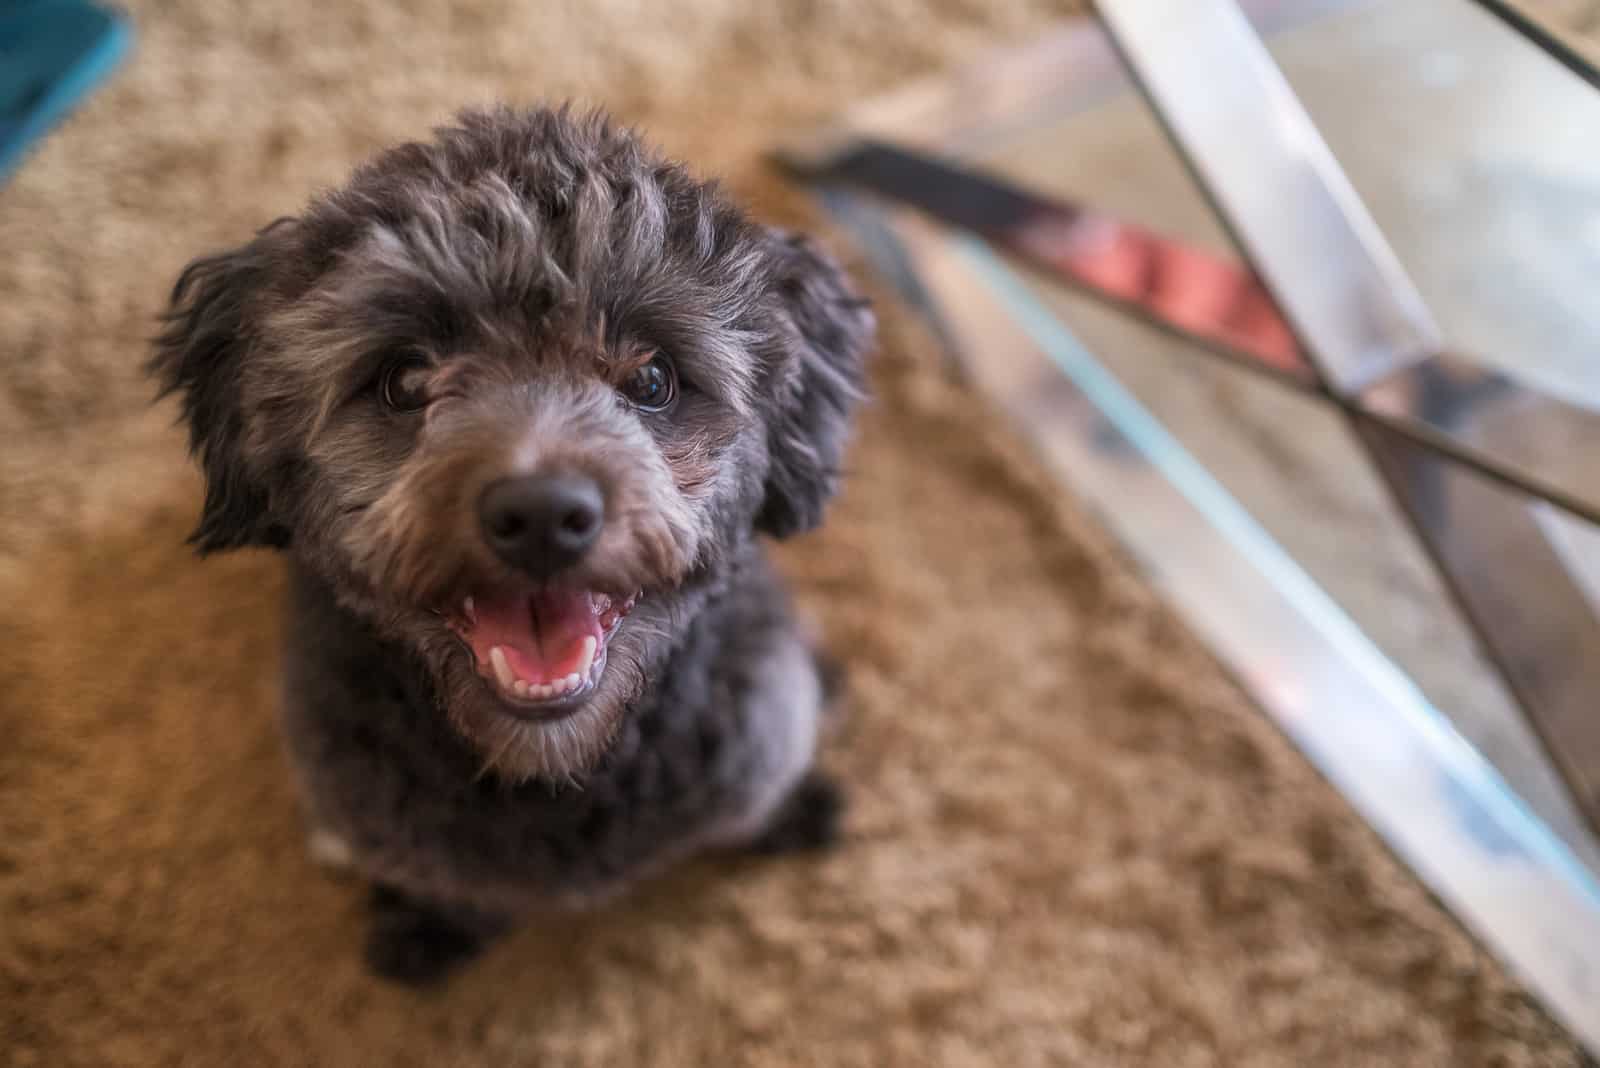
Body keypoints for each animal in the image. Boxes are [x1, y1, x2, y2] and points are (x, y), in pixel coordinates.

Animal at [148, 103, 870, 978]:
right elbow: (437, 882)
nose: (542, 514)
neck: (553, 773)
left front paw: (793, 808)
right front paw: (429, 924)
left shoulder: (755, 735)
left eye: (653, 379)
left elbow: (754, 797)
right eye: (403, 381)